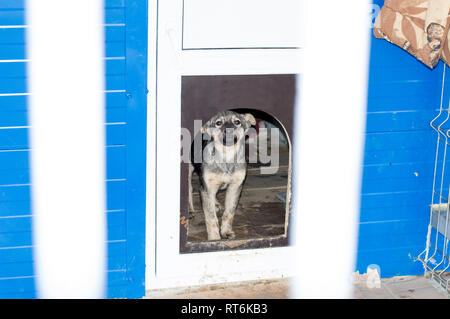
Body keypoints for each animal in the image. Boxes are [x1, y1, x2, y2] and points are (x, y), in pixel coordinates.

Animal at [188, 111, 255, 241]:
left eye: (237, 122)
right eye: (218, 123)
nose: (228, 130)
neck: (226, 157)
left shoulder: (235, 187)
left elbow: (229, 213)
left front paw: (226, 231)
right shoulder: (206, 188)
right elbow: (211, 218)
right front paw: (214, 238)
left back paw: (216, 203)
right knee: (189, 188)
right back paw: (190, 209)